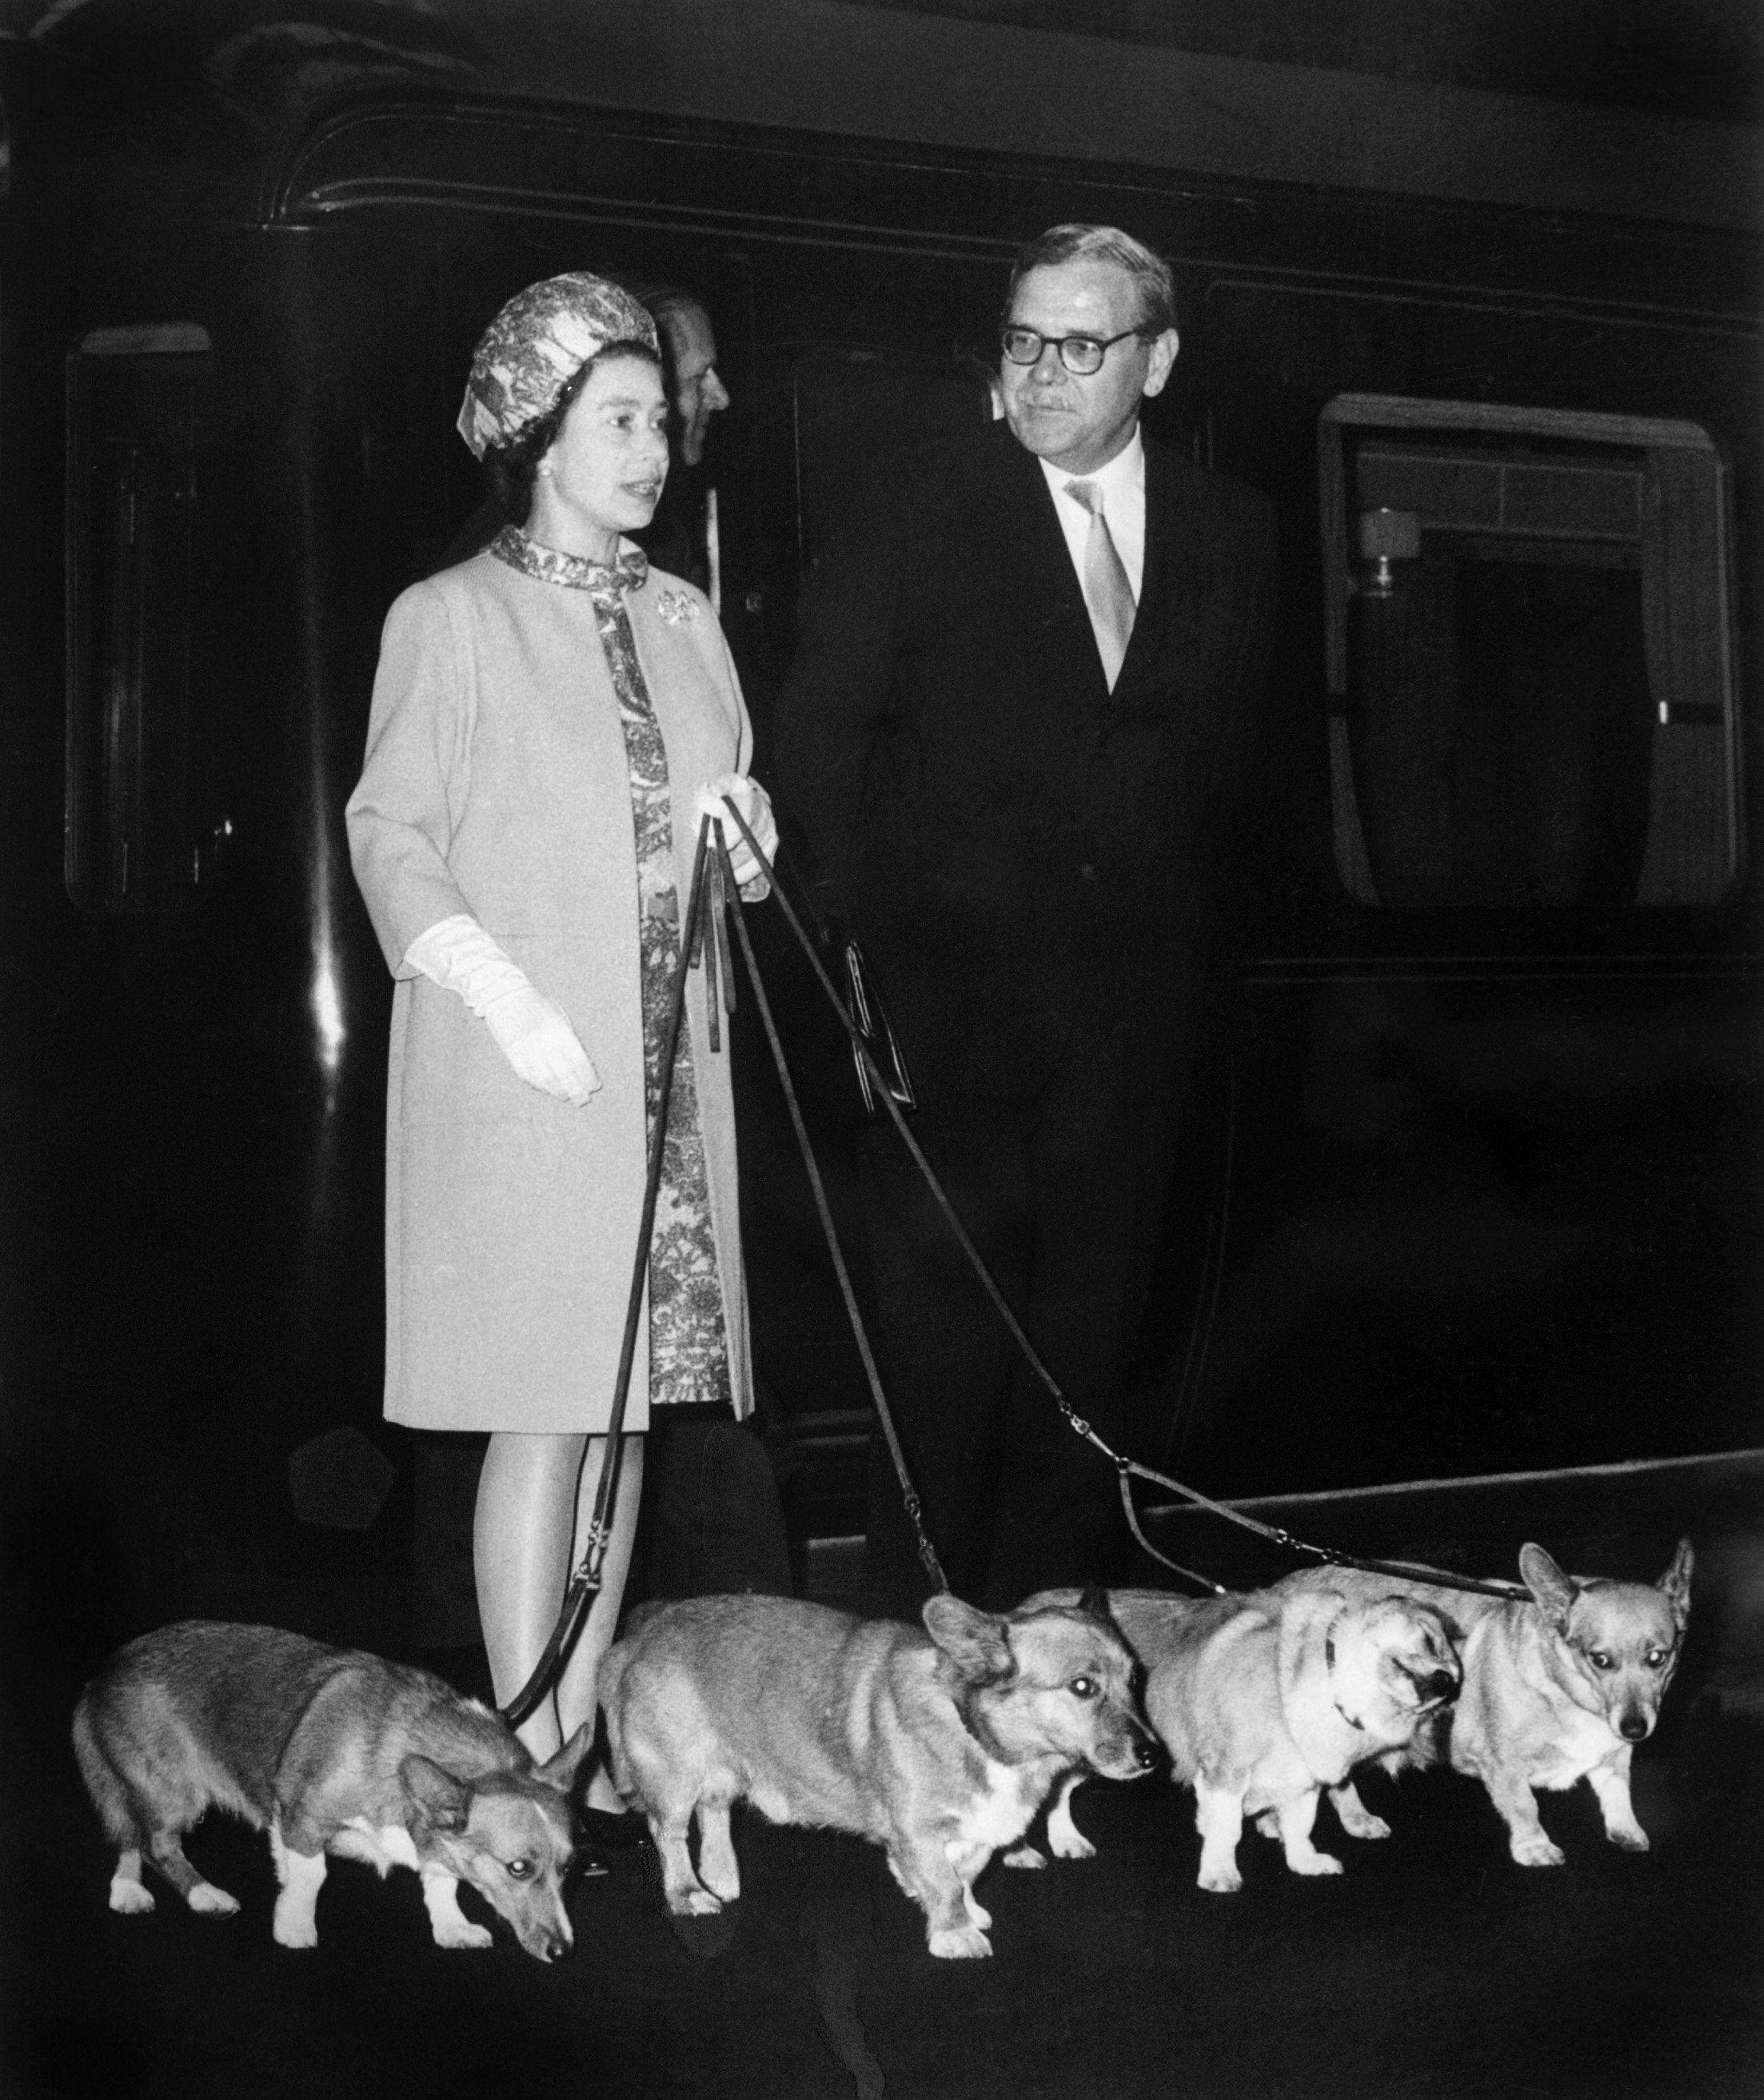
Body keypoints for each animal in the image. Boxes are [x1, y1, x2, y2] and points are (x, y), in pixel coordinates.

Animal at [74, 1612, 584, 1957]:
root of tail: (100, 1677)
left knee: (130, 1836)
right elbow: (310, 1876)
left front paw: (452, 1928)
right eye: (518, 1868)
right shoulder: (299, 1816)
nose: (563, 1952)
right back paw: (201, 1895)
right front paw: (295, 1928)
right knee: (152, 1843)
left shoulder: (435, 1841)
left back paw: (128, 1890)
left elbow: (442, 1882)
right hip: (172, 1792)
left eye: (569, 1867)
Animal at [601, 1587, 1167, 1948]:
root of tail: (651, 1626)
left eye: (1134, 1679)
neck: (975, 1731)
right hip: (675, 1776)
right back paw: (689, 1893)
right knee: (671, 1834)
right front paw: (955, 1933)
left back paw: (721, 1874)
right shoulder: (917, 1828)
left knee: (715, 1810)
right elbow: (944, 1881)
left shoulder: (975, 1830)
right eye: (1082, 1687)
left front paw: (959, 1908)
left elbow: (965, 1873)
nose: (1151, 1757)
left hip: (723, 1767)